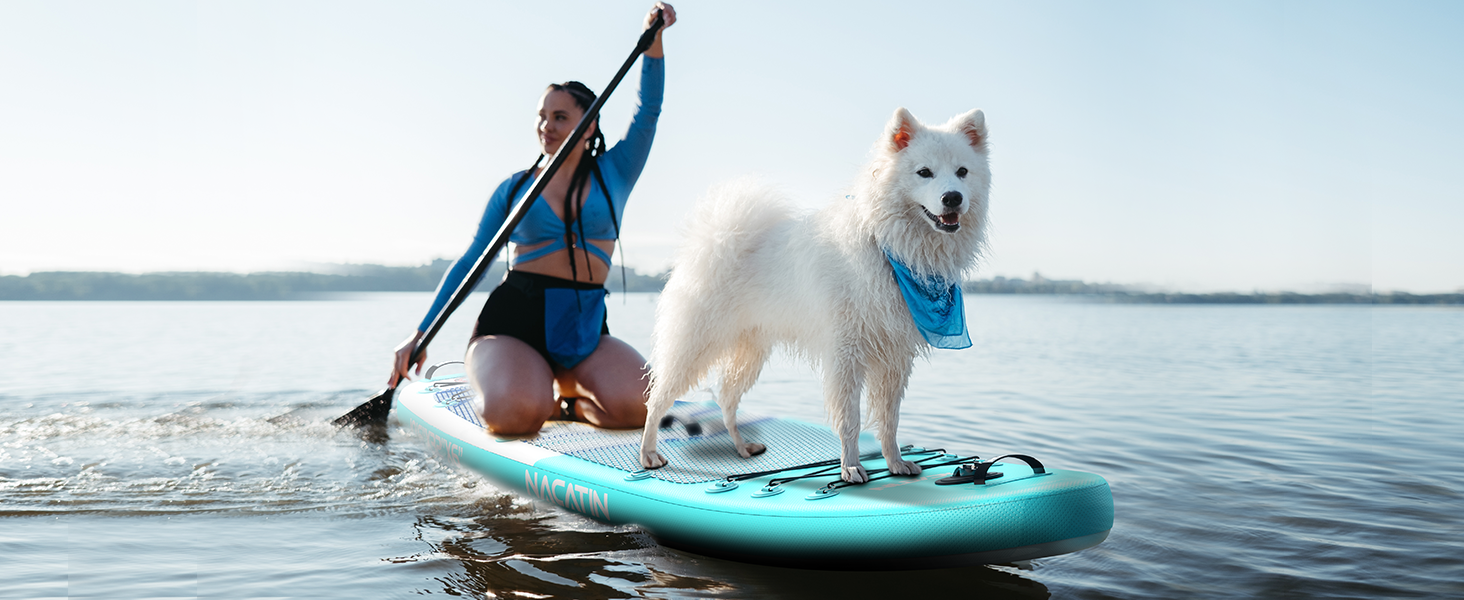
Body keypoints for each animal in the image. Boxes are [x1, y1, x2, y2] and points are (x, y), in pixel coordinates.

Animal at [638, 107, 989, 482]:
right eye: (924, 173)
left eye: (962, 172)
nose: (953, 197)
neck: (888, 247)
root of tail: (715, 237)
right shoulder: (845, 354)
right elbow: (850, 420)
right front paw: (851, 467)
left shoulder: (893, 357)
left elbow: (889, 419)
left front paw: (894, 462)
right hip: (695, 347)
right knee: (657, 399)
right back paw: (648, 453)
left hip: (750, 353)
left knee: (726, 399)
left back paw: (742, 447)